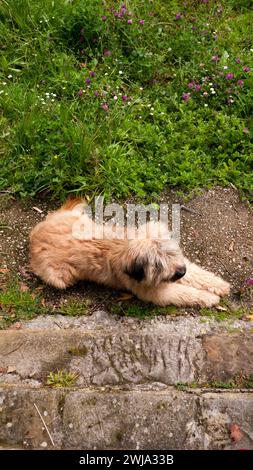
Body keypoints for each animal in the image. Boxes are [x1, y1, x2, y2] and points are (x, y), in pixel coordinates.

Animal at [28, 199, 230, 306]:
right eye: (157, 265)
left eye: (172, 252)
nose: (181, 272)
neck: (122, 247)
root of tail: (35, 234)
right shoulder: (156, 292)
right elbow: (183, 293)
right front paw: (209, 297)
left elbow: (198, 274)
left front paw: (219, 285)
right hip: (59, 277)